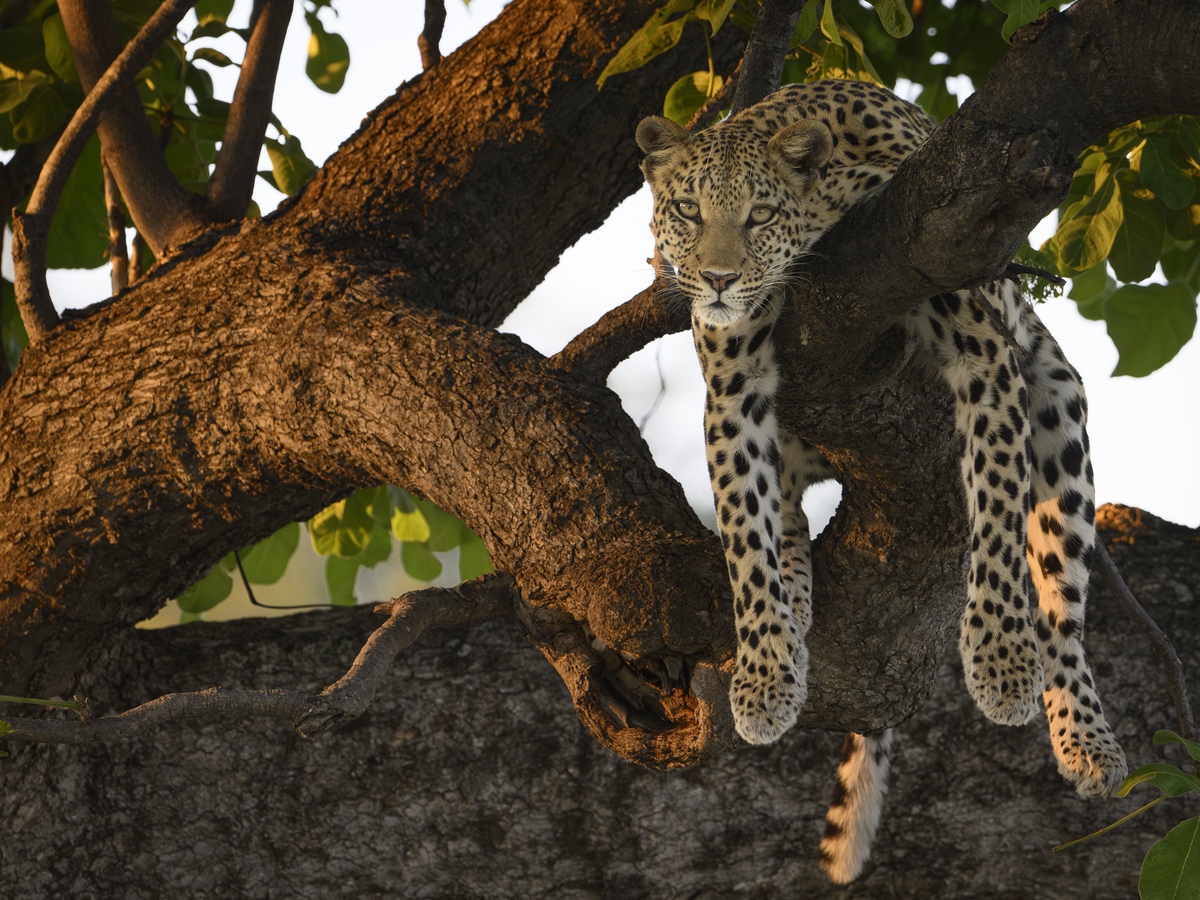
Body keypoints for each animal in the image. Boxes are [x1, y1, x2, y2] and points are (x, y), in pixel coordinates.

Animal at [636, 79, 1128, 883]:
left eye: (759, 215)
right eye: (687, 211)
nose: (718, 280)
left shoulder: (985, 353)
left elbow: (997, 511)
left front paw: (999, 659)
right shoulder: (733, 391)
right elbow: (744, 534)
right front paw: (766, 676)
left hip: (1058, 403)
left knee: (1064, 607)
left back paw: (1085, 737)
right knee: (788, 508)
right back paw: (797, 595)